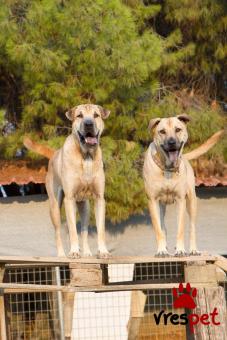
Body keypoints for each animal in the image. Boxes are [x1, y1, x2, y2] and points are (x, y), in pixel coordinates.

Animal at [24, 103, 110, 258]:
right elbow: (72, 230)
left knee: (84, 230)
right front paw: (74, 251)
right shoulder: (69, 199)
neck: (86, 156)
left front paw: (103, 251)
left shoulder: (99, 198)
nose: (89, 124)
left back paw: (87, 252)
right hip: (55, 207)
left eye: (96, 115)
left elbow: (100, 229)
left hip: (85, 207)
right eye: (79, 115)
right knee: (59, 231)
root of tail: (54, 154)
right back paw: (62, 255)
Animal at [144, 115, 223, 256]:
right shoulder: (152, 200)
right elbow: (158, 229)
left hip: (192, 202)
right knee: (163, 227)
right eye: (162, 131)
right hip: (161, 206)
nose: (171, 142)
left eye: (178, 129)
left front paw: (180, 250)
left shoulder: (180, 199)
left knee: (192, 228)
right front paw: (161, 250)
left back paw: (193, 250)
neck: (168, 169)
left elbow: (180, 228)